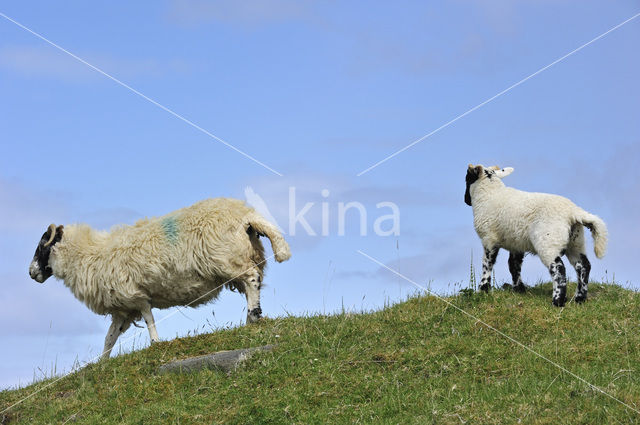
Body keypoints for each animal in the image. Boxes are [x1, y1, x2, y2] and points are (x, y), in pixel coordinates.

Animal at [28, 198, 292, 358]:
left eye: (42, 245)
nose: (31, 273)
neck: (88, 254)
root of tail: (246, 215)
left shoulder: (136, 295)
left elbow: (149, 319)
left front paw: (155, 343)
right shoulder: (123, 308)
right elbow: (109, 337)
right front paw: (102, 361)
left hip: (229, 260)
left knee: (252, 279)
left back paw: (253, 316)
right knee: (251, 285)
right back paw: (250, 318)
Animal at [464, 164, 604, 306]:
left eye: (467, 179)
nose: (466, 201)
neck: (489, 195)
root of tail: (574, 212)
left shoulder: (489, 239)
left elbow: (487, 264)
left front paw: (483, 289)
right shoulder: (516, 244)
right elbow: (514, 265)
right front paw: (519, 289)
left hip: (548, 241)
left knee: (559, 268)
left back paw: (558, 301)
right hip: (576, 242)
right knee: (583, 266)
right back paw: (579, 298)